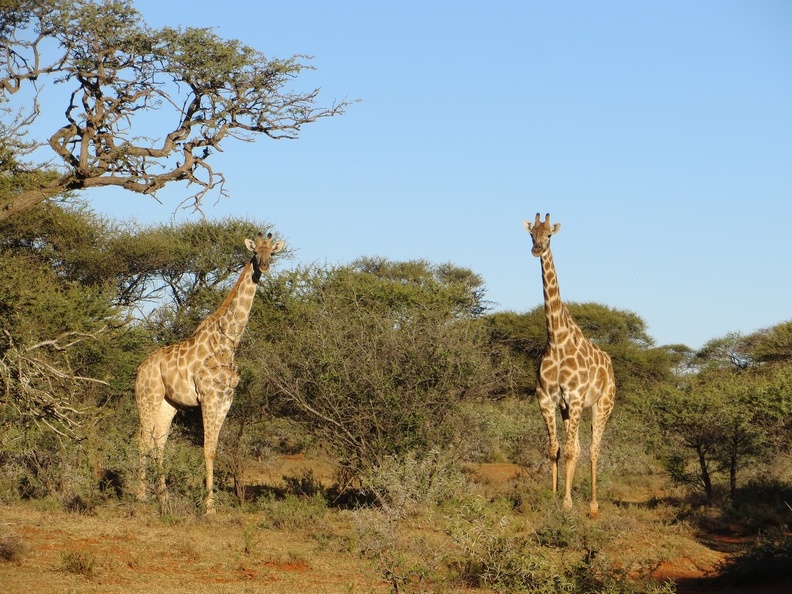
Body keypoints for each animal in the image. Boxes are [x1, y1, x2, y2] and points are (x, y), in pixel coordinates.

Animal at [136, 229, 284, 512]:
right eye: (255, 252)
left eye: (272, 252)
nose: (264, 267)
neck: (229, 341)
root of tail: (139, 369)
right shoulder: (208, 396)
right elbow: (206, 449)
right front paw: (210, 507)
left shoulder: (226, 398)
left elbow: (213, 449)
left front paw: (211, 503)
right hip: (147, 397)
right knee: (143, 441)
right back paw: (140, 498)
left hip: (168, 404)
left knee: (159, 444)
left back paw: (164, 500)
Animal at [524, 214, 616, 520]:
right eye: (531, 234)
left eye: (550, 235)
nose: (536, 249)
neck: (556, 338)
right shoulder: (546, 399)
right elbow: (555, 449)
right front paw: (555, 497)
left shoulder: (575, 398)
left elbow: (571, 452)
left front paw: (566, 503)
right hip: (567, 409)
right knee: (574, 445)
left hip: (603, 405)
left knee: (593, 449)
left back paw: (593, 505)